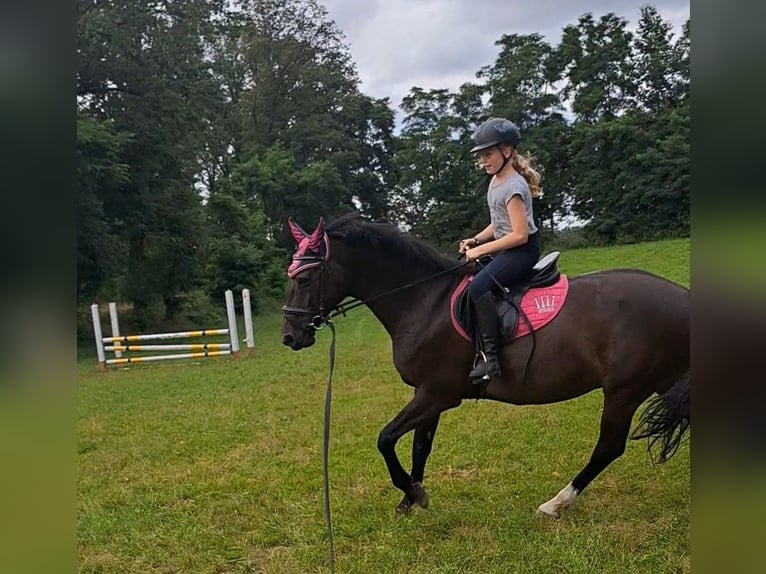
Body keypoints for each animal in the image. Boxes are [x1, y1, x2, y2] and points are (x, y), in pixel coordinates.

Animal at [284, 214, 696, 520]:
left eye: (303, 278)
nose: (290, 336)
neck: (426, 302)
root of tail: (684, 298)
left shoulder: (437, 393)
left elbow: (385, 439)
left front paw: (411, 493)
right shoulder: (429, 396)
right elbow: (419, 447)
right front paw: (411, 497)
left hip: (625, 390)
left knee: (608, 447)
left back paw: (555, 503)